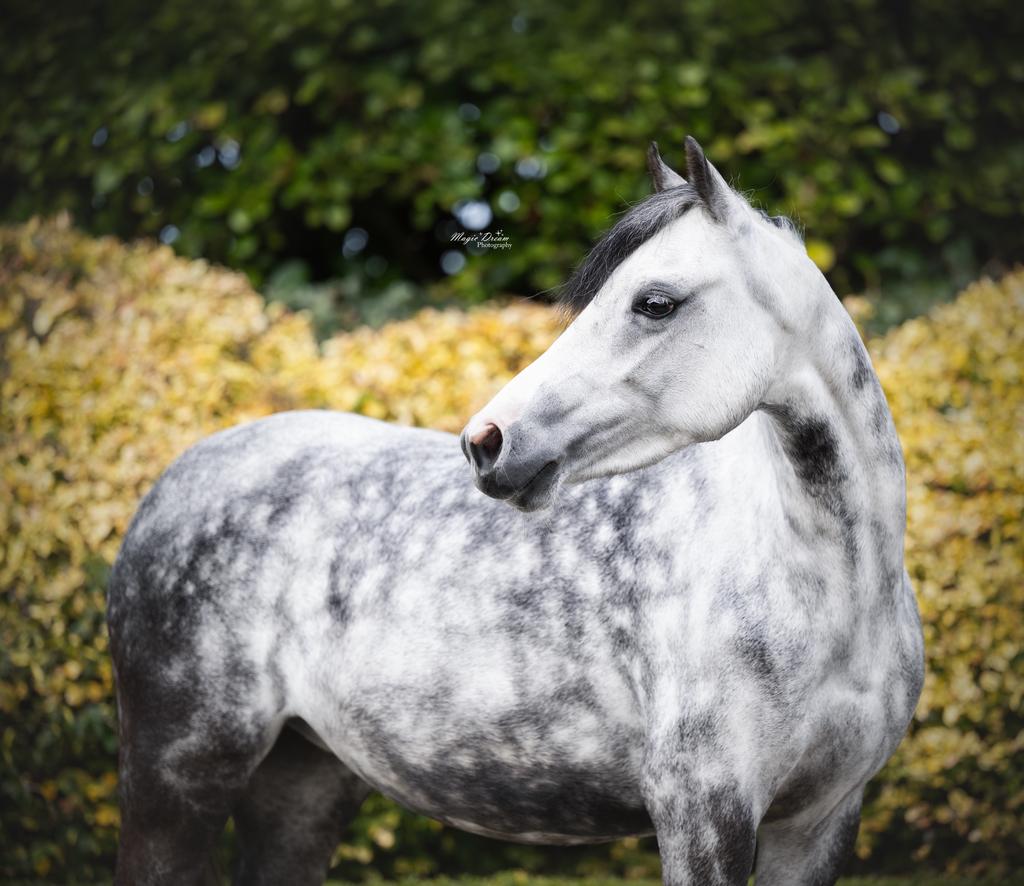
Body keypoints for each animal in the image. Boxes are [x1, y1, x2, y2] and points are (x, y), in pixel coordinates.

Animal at [107, 136, 924, 886]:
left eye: (655, 302)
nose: (487, 441)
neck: (823, 589)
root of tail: (175, 480)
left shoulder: (819, 821)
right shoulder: (704, 814)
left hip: (301, 786)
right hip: (176, 787)